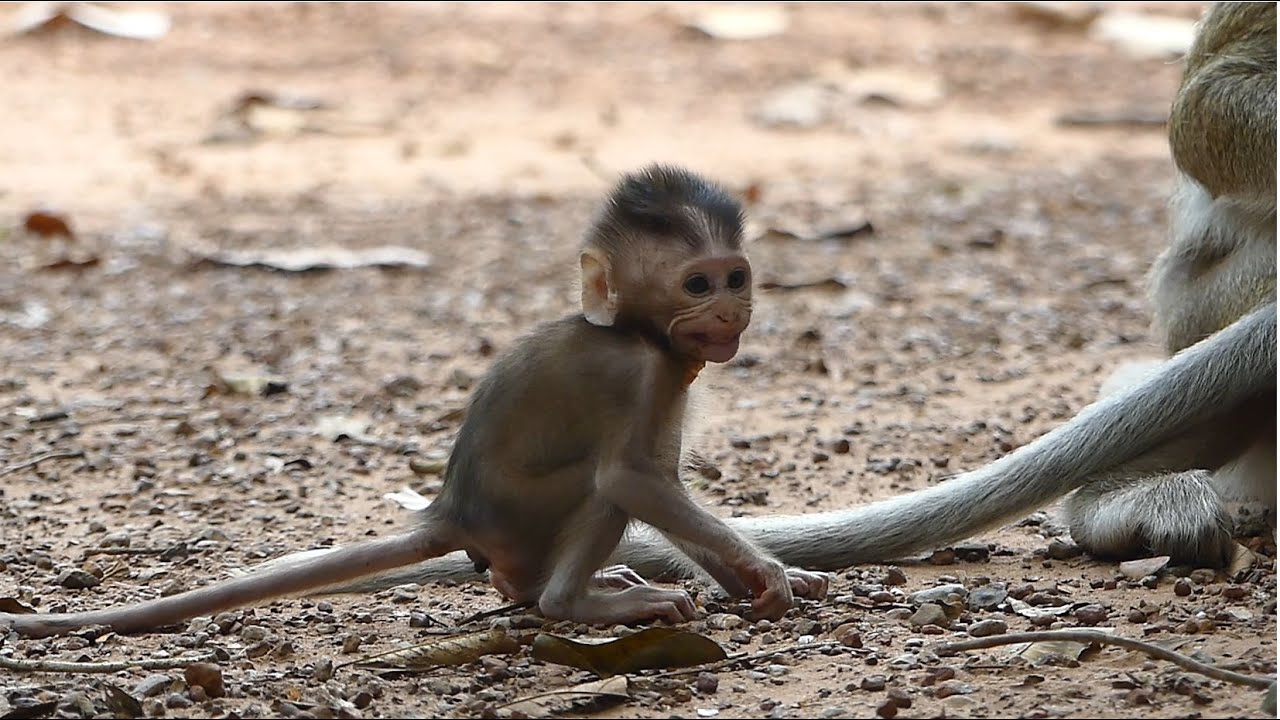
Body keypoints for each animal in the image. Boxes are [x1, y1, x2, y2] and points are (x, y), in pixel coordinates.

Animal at [0, 165, 828, 639]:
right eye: (697, 284)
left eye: (735, 277)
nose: (730, 310)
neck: (636, 331)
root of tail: (450, 512)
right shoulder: (641, 374)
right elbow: (637, 480)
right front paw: (766, 570)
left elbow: (664, 482)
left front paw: (771, 578)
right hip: (523, 511)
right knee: (601, 488)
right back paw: (576, 604)